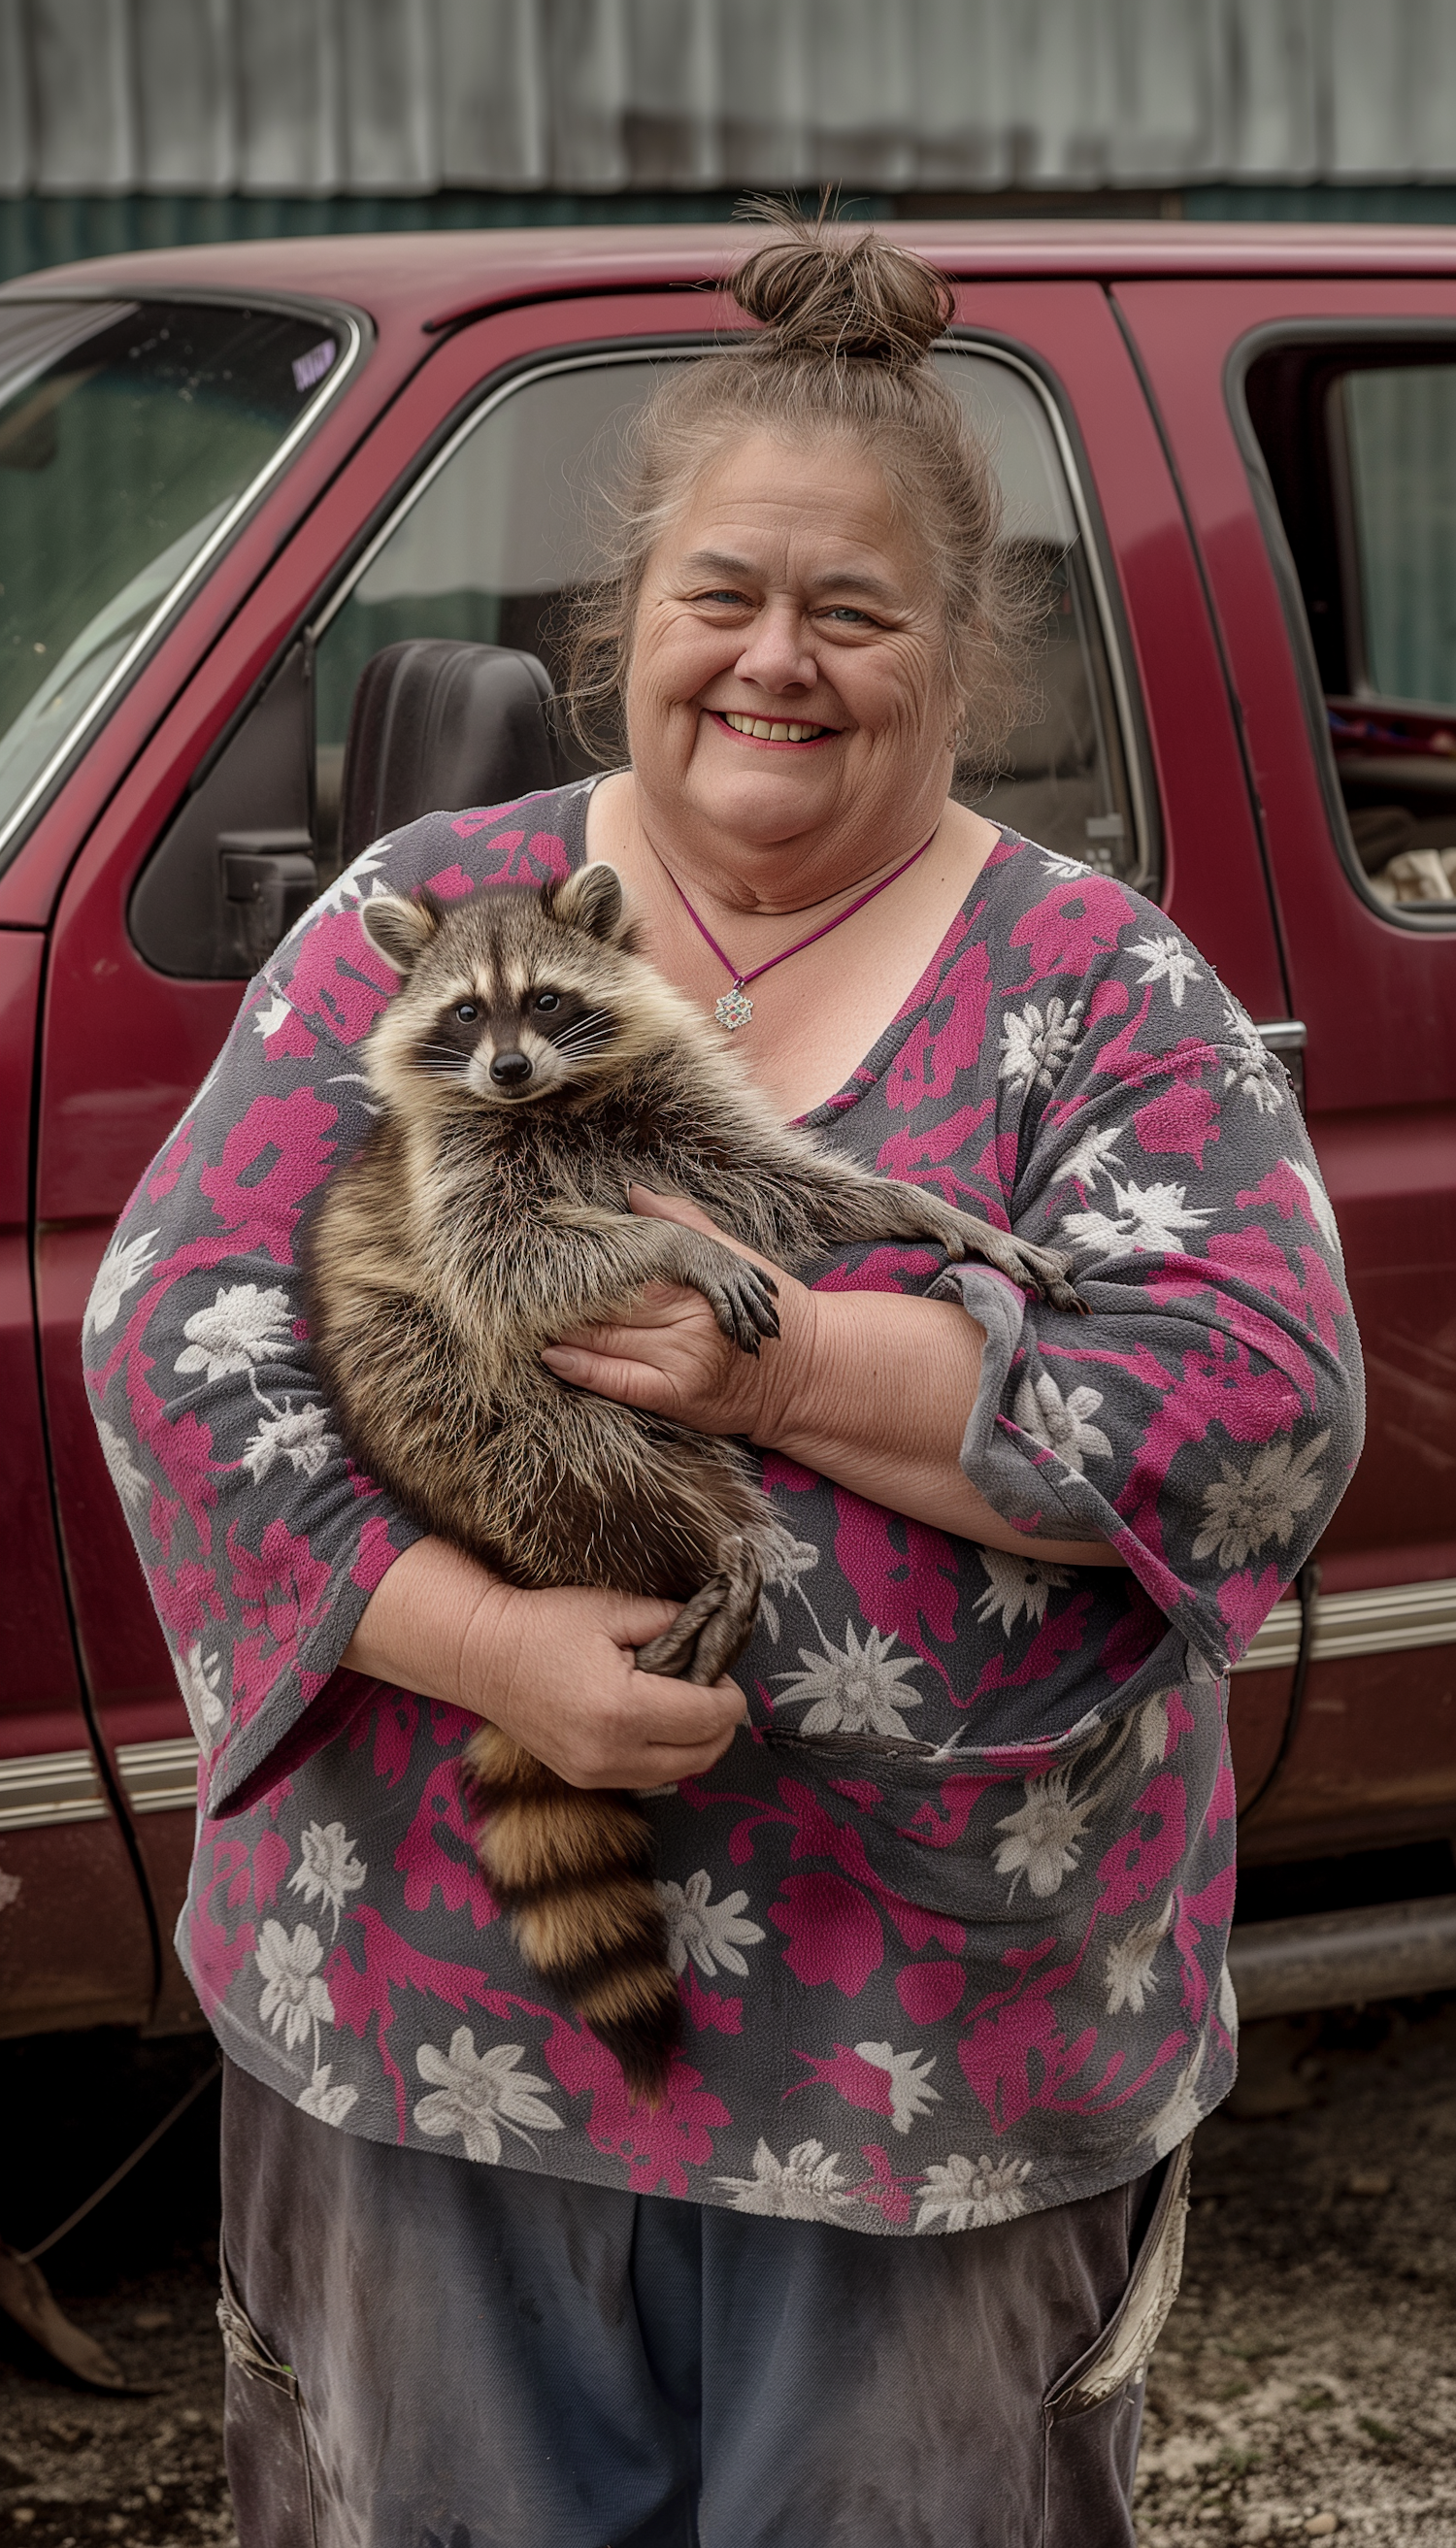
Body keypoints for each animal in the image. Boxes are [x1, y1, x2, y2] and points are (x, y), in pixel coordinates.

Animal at [302, 866, 1086, 2100]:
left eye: (544, 999)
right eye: (466, 1013)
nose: (507, 1069)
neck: (554, 1099)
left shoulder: (679, 1119)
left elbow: (784, 1188)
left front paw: (923, 1207)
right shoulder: (456, 1178)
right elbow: (507, 1258)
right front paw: (673, 1247)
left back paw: (722, 1555)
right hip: (452, 1413)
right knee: (562, 1442)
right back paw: (700, 1554)